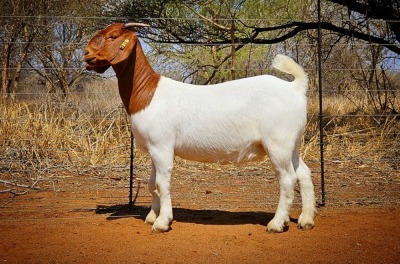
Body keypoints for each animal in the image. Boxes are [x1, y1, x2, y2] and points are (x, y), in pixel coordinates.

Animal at [83, 22, 316, 233]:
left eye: (113, 36)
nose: (86, 54)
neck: (147, 92)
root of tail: (295, 87)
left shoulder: (162, 146)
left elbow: (162, 183)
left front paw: (162, 222)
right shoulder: (153, 148)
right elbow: (152, 183)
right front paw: (151, 216)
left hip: (277, 142)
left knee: (287, 178)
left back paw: (277, 223)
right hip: (291, 143)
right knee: (303, 173)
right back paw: (306, 220)